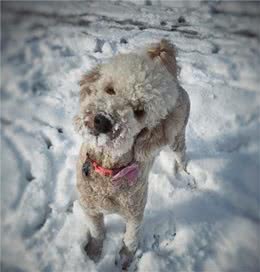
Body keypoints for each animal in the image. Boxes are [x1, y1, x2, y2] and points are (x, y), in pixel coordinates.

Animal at [73, 38, 191, 270]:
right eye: (109, 90)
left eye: (139, 111)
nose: (103, 121)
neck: (108, 171)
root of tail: (175, 82)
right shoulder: (89, 207)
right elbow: (97, 232)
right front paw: (93, 253)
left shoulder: (134, 215)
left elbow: (130, 239)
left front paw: (126, 259)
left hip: (177, 138)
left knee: (182, 156)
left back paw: (184, 174)